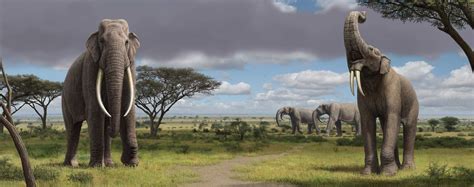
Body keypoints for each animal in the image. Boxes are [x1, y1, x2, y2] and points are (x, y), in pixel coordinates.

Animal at [61, 19, 139, 167]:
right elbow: (95, 109)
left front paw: (132, 164)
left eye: (126, 42)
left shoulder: (130, 63)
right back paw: (71, 165)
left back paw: (109, 164)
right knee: (73, 129)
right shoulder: (90, 66)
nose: (124, 159)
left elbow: (127, 105)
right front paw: (96, 166)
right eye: (102, 41)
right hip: (66, 99)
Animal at [344, 11, 418, 175]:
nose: (363, 14)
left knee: (408, 127)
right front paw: (367, 173)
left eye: (372, 50)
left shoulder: (392, 86)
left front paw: (388, 174)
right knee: (387, 126)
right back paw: (398, 167)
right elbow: (367, 121)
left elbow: (393, 116)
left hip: (414, 104)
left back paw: (406, 169)